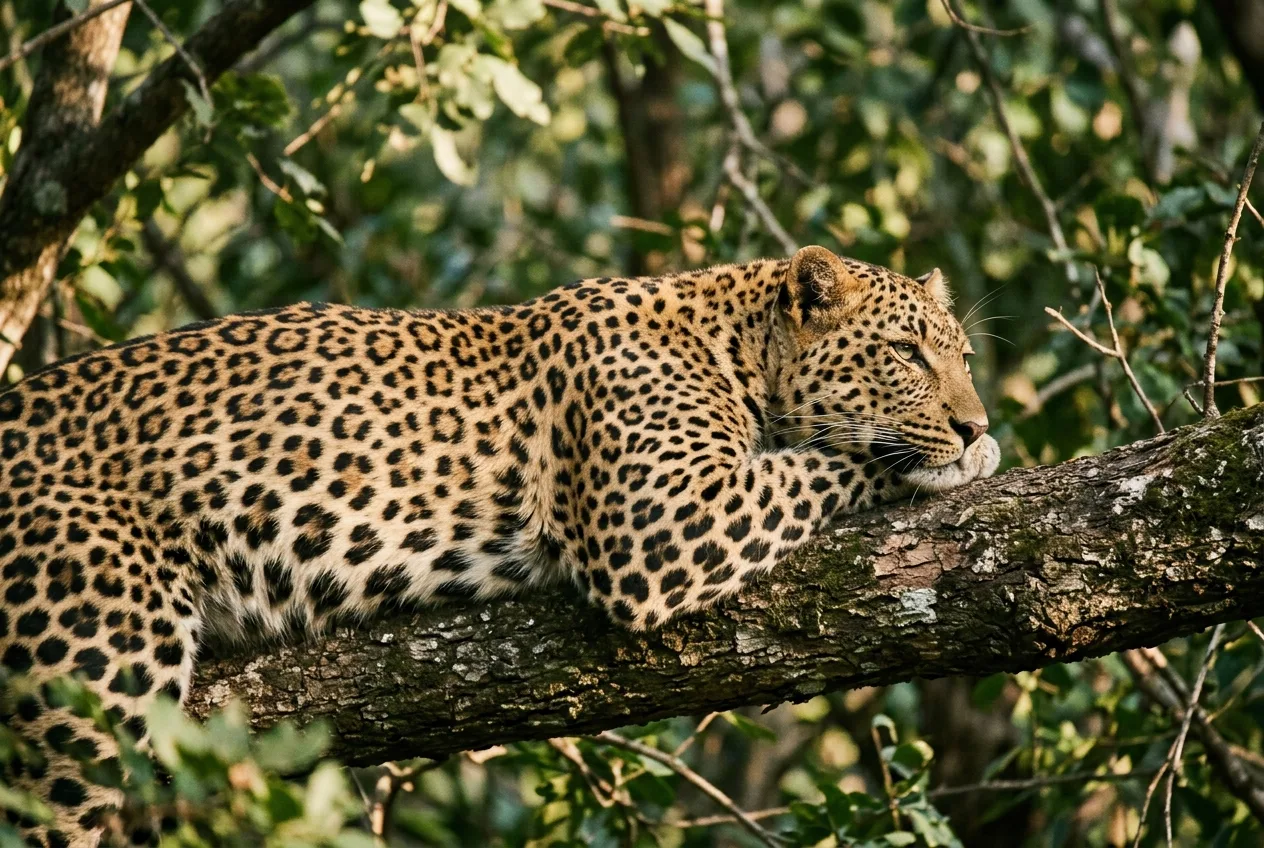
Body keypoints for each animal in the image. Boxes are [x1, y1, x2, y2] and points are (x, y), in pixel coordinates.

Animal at [0, 245, 998, 846]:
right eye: (906, 353)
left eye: (964, 356)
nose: (975, 420)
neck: (737, 349)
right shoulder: (662, 517)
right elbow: (823, 464)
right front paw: (960, 461)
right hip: (95, 671)